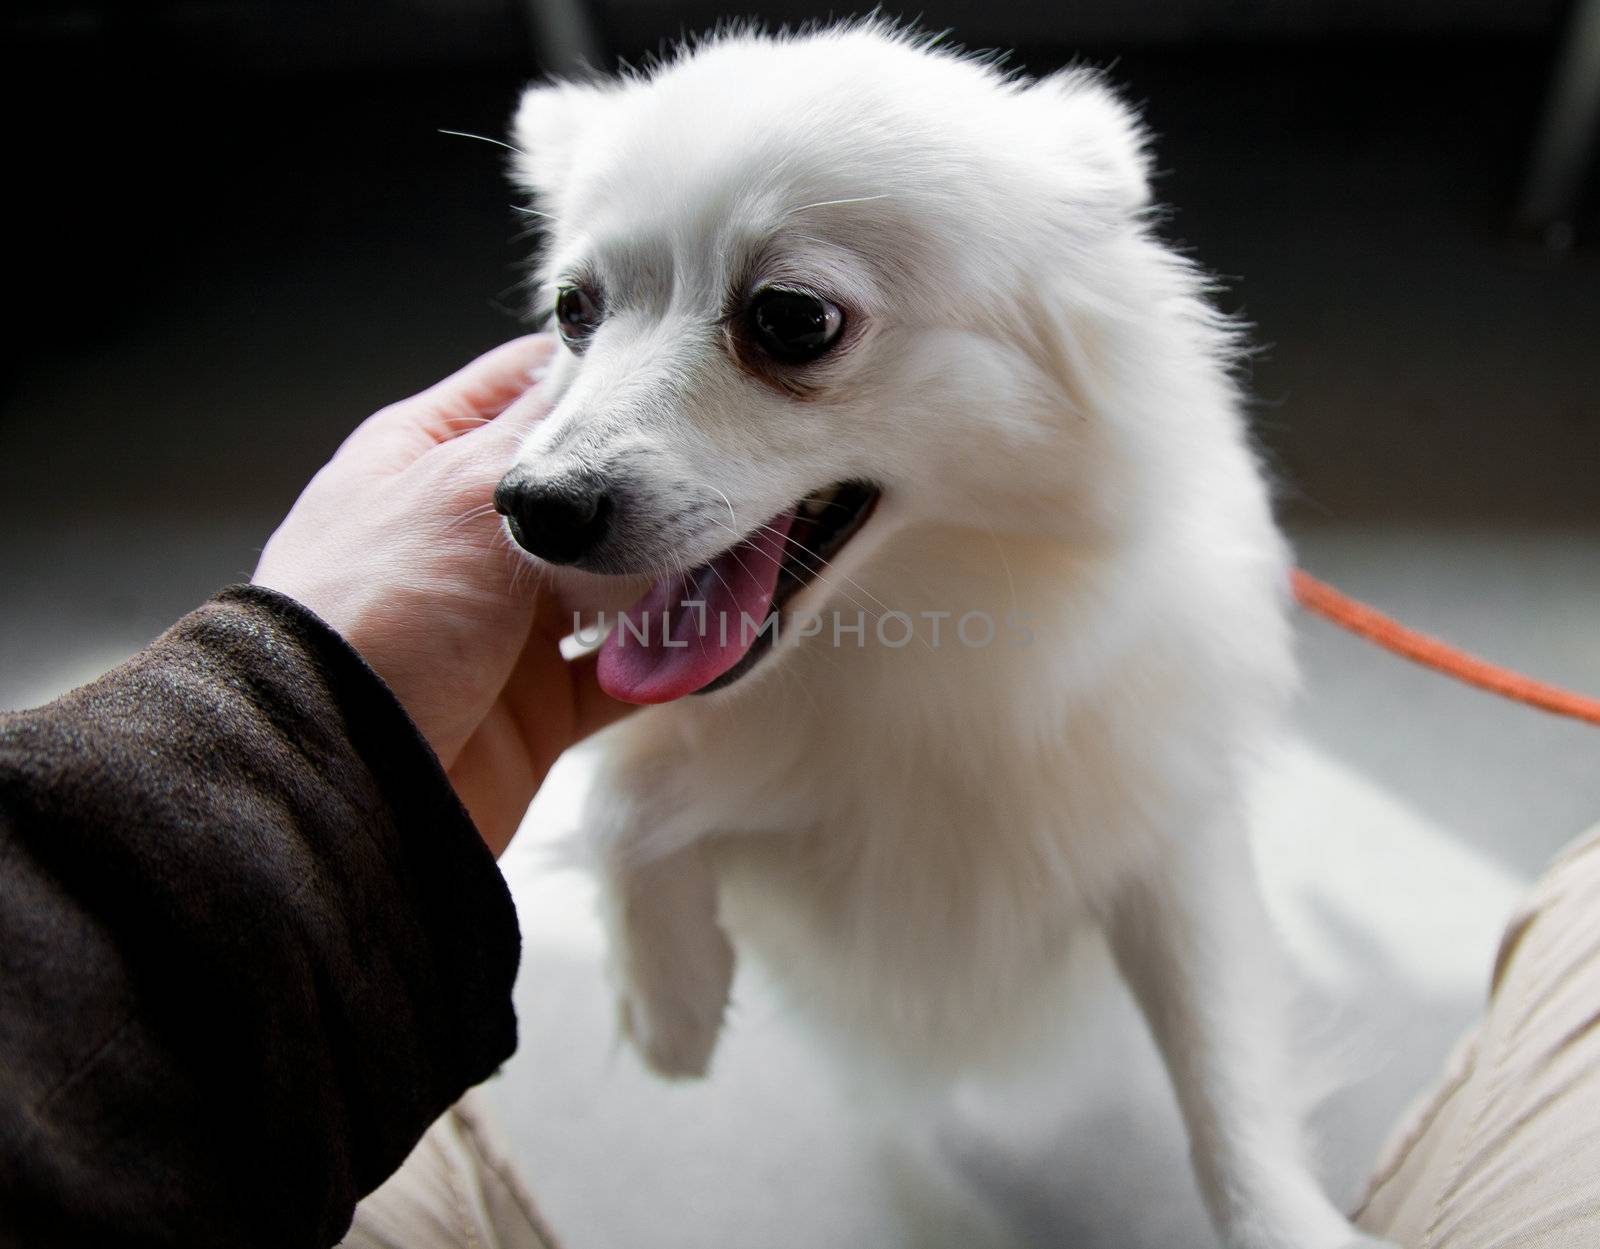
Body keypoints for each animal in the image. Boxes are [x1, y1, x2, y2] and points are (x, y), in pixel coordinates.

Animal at [496, 21, 1388, 1247]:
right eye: (573, 312)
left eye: (792, 319)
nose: (531, 505)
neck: (892, 648)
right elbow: (626, 797)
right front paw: (672, 1001)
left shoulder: (1162, 831)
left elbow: (1224, 1082)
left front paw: (1285, 1219)